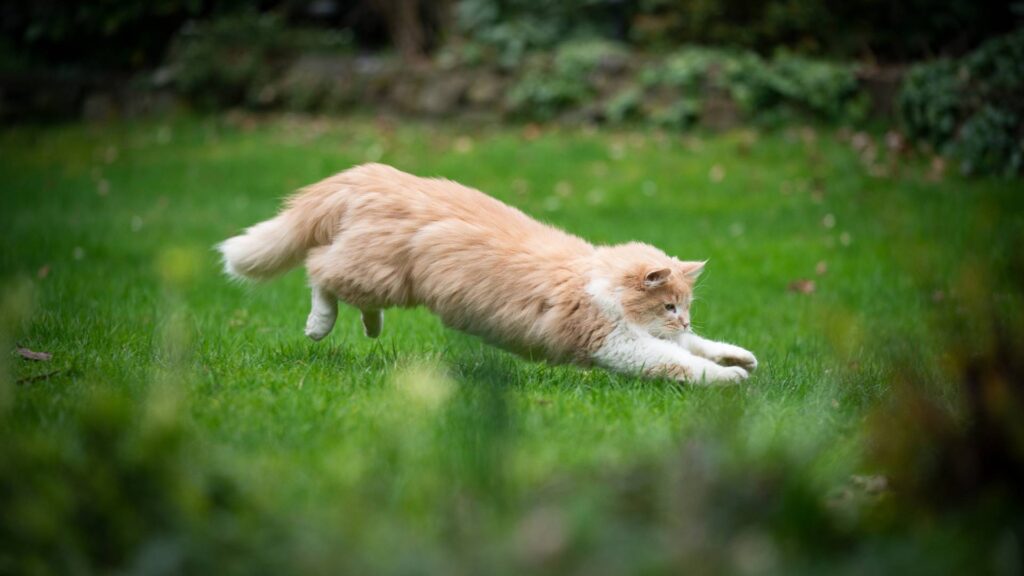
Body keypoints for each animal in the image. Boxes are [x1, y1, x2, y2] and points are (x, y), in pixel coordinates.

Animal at [220, 163, 757, 383]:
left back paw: (370, 328)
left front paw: (739, 358)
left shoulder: (646, 336)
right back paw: (319, 326)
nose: (685, 318)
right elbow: (681, 363)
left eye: (685, 307)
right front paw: (730, 380)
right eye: (669, 304)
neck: (598, 280)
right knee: (318, 270)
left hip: (380, 276)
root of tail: (374, 174)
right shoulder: (616, 342)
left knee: (339, 281)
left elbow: (698, 348)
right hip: (377, 273)